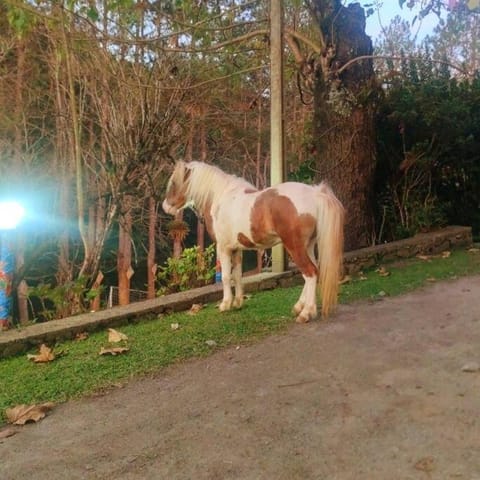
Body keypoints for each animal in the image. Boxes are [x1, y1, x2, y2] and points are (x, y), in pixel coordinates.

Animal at [163, 161, 344, 322]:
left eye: (174, 182)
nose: (165, 207)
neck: (221, 198)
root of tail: (315, 193)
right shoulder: (236, 249)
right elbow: (237, 275)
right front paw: (238, 302)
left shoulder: (223, 248)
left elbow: (226, 277)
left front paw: (225, 304)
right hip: (308, 246)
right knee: (314, 271)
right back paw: (300, 307)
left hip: (295, 247)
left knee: (310, 273)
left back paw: (305, 313)